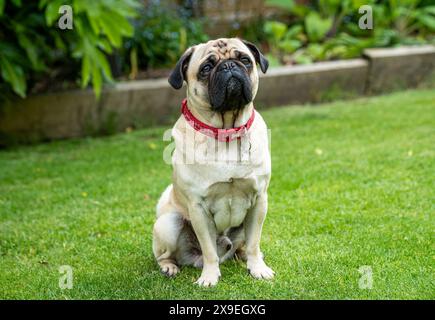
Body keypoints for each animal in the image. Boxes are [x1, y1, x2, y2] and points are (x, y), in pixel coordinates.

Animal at [152, 38, 272, 288]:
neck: (225, 131)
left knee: (244, 246)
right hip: (168, 224)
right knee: (166, 254)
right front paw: (209, 276)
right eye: (206, 68)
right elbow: (208, 250)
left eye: (245, 60)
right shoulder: (198, 208)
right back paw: (169, 267)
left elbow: (254, 242)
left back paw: (245, 256)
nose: (229, 66)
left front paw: (257, 268)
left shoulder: (259, 201)